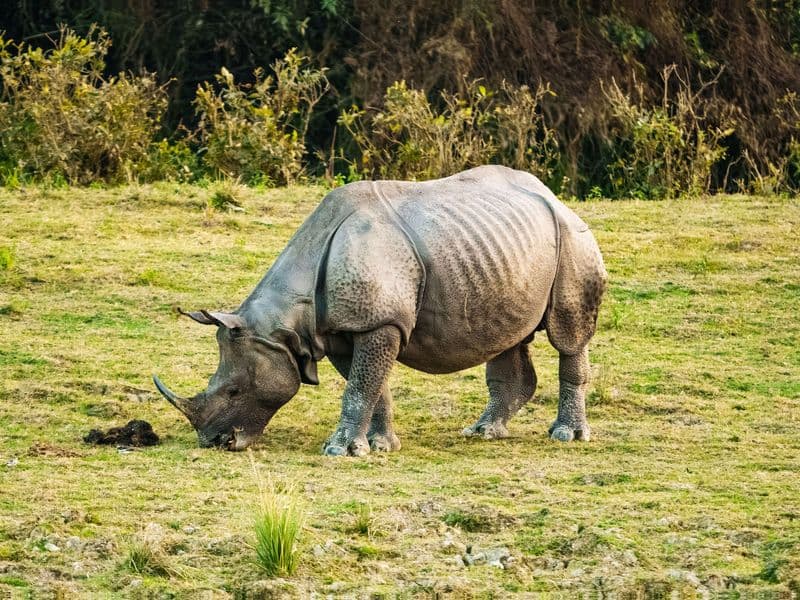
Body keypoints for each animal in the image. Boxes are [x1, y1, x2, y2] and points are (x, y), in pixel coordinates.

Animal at [153, 165, 607, 455]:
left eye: (233, 390)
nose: (216, 443)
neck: (286, 323)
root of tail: (553, 196)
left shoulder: (378, 322)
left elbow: (360, 387)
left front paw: (339, 451)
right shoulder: (339, 329)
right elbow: (373, 385)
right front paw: (379, 446)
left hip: (573, 237)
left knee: (568, 335)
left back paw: (566, 436)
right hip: (504, 248)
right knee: (508, 336)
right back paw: (483, 432)